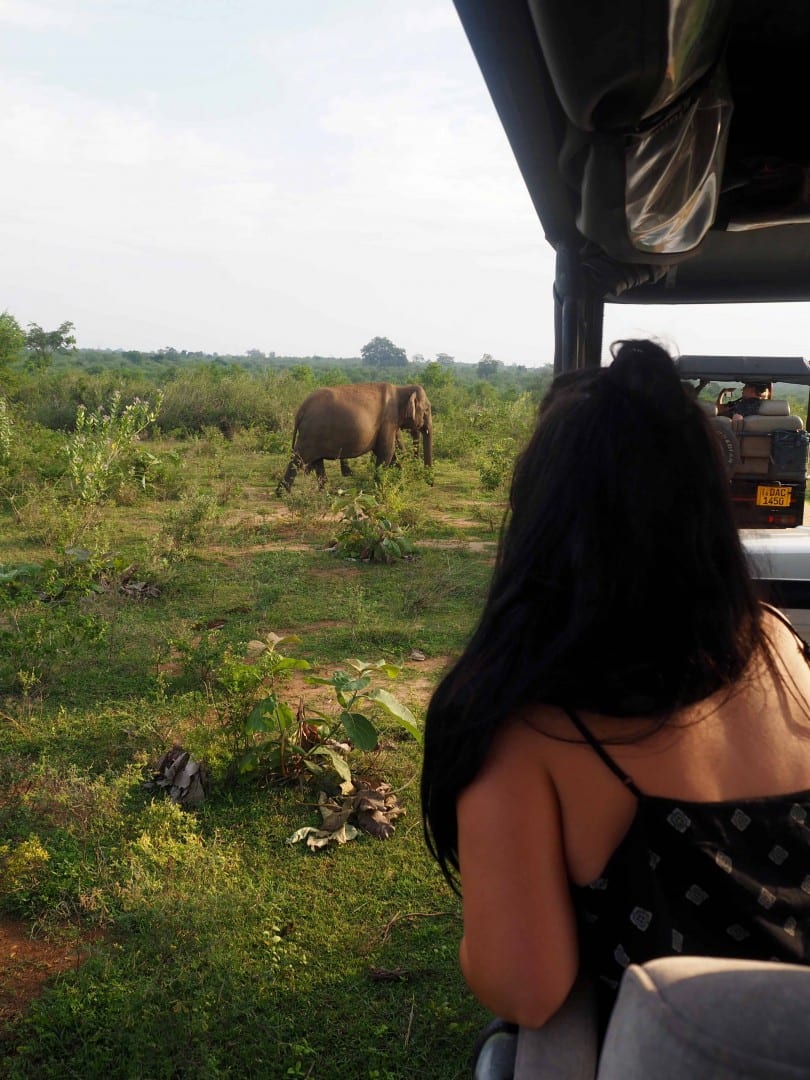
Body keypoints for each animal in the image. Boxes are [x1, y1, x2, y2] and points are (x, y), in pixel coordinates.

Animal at [276, 382, 434, 492]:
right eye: (427, 410)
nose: (431, 483)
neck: (402, 389)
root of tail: (301, 409)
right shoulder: (389, 420)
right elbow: (386, 452)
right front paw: (379, 488)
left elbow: (389, 453)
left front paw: (402, 483)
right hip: (311, 433)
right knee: (298, 458)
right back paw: (283, 493)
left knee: (316, 460)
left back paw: (322, 491)